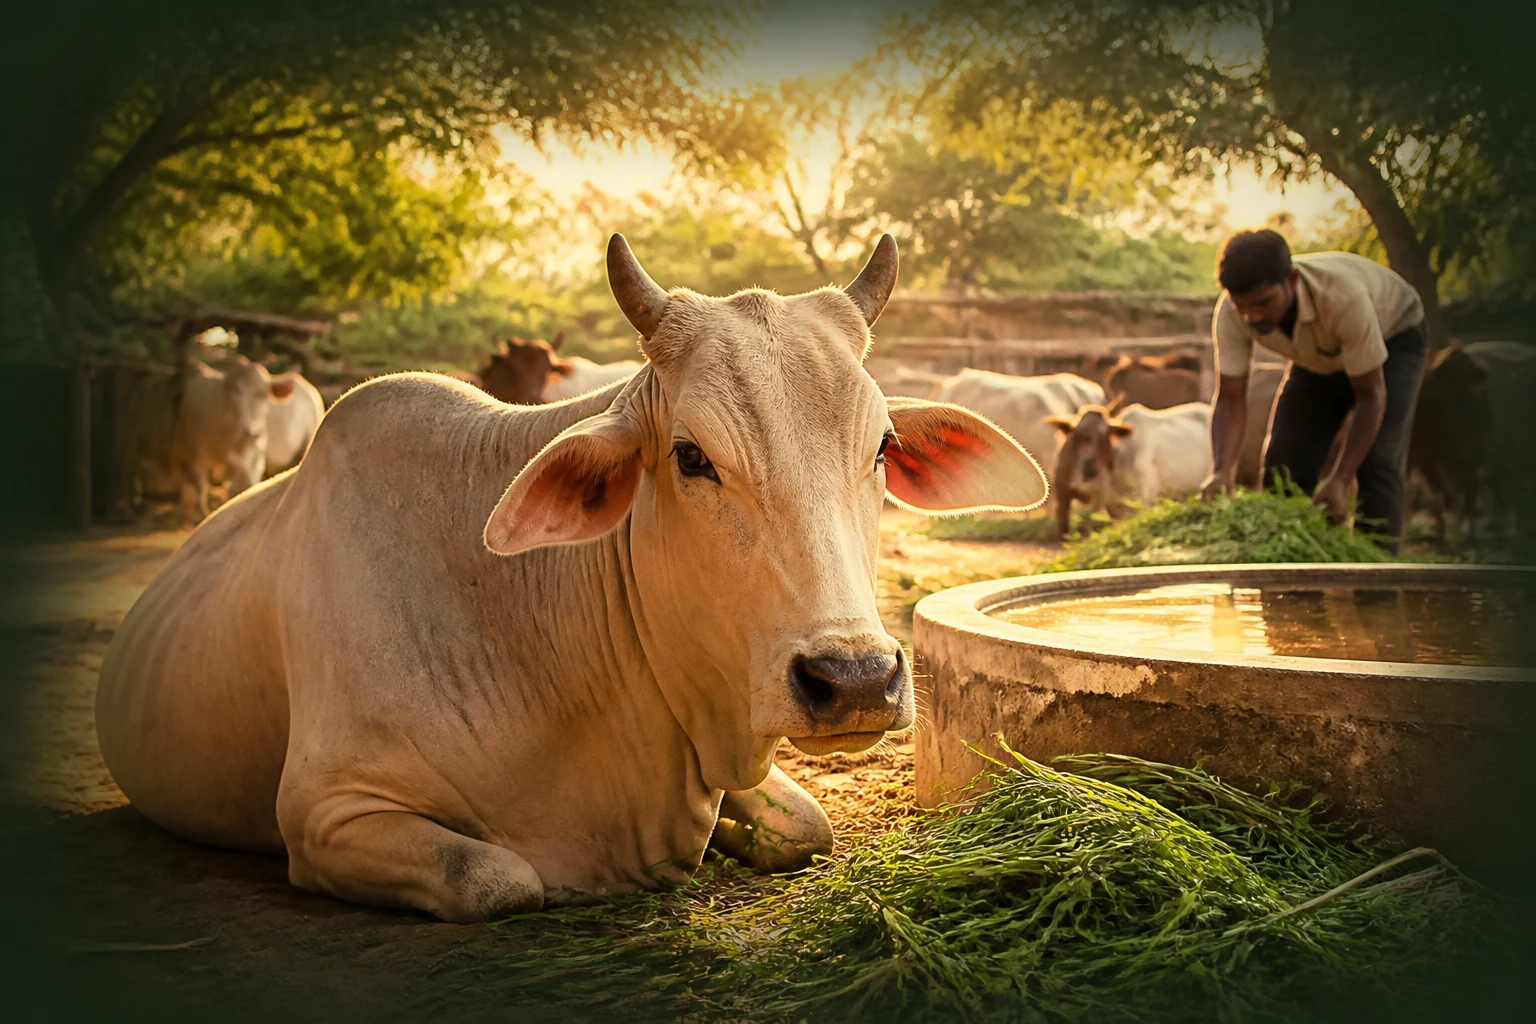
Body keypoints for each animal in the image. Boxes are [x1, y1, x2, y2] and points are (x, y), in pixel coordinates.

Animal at [104, 354, 292, 523]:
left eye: (264, 393)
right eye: (235, 392)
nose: (251, 432)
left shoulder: (252, 458)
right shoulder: (190, 455)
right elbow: (200, 485)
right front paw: (199, 515)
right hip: (129, 440)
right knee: (128, 470)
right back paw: (126, 510)